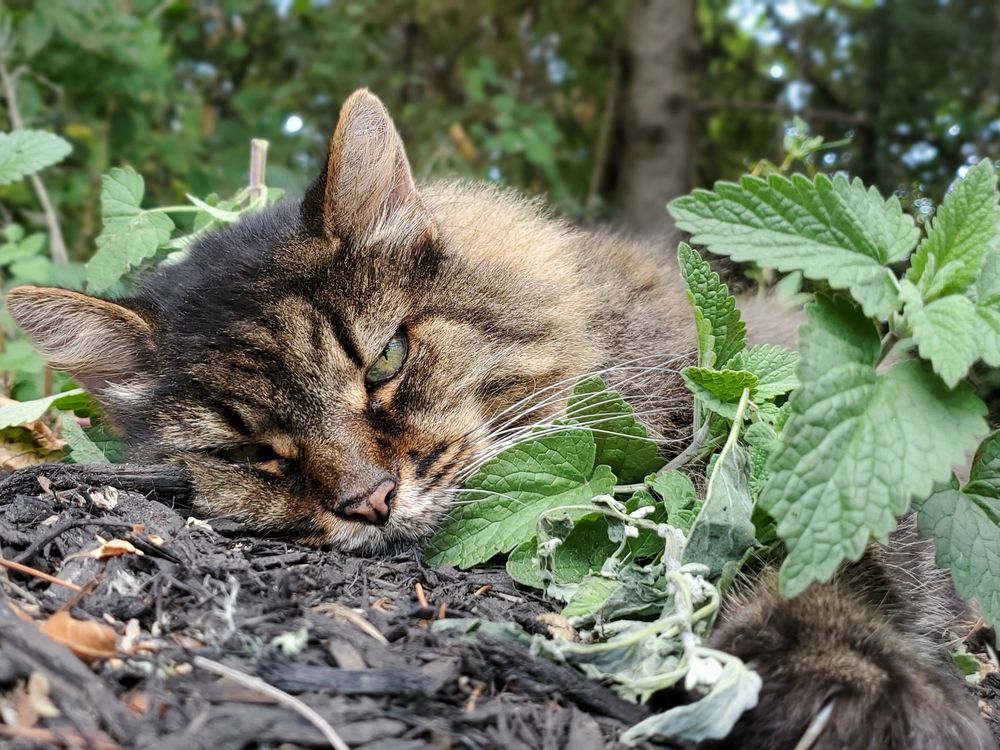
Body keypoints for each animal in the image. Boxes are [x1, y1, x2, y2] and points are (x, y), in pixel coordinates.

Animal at [5, 89, 992, 750]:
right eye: (252, 453)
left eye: (386, 362)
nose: (370, 500)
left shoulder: (829, 464)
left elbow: (833, 577)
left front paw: (854, 689)